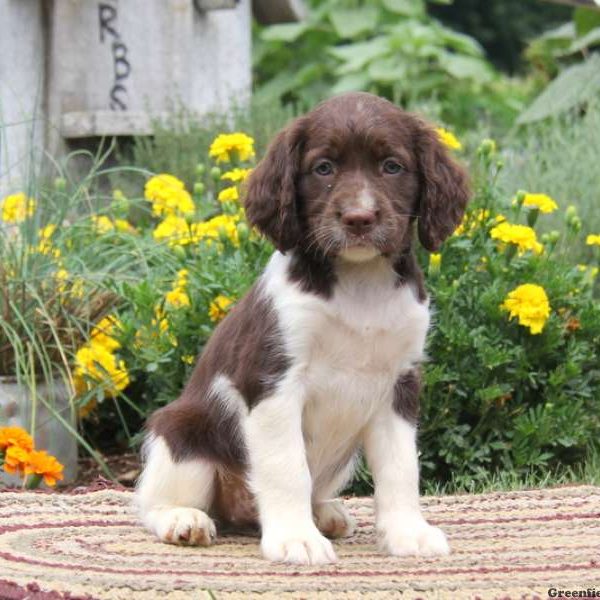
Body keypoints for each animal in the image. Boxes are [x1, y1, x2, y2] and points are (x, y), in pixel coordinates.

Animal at [136, 91, 468, 564]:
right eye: (323, 168)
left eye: (392, 166)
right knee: (155, 501)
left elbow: (402, 467)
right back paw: (184, 519)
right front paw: (296, 538)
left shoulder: (399, 383)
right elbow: (287, 467)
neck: (359, 285)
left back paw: (325, 513)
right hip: (182, 430)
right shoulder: (274, 381)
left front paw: (409, 533)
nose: (359, 218)